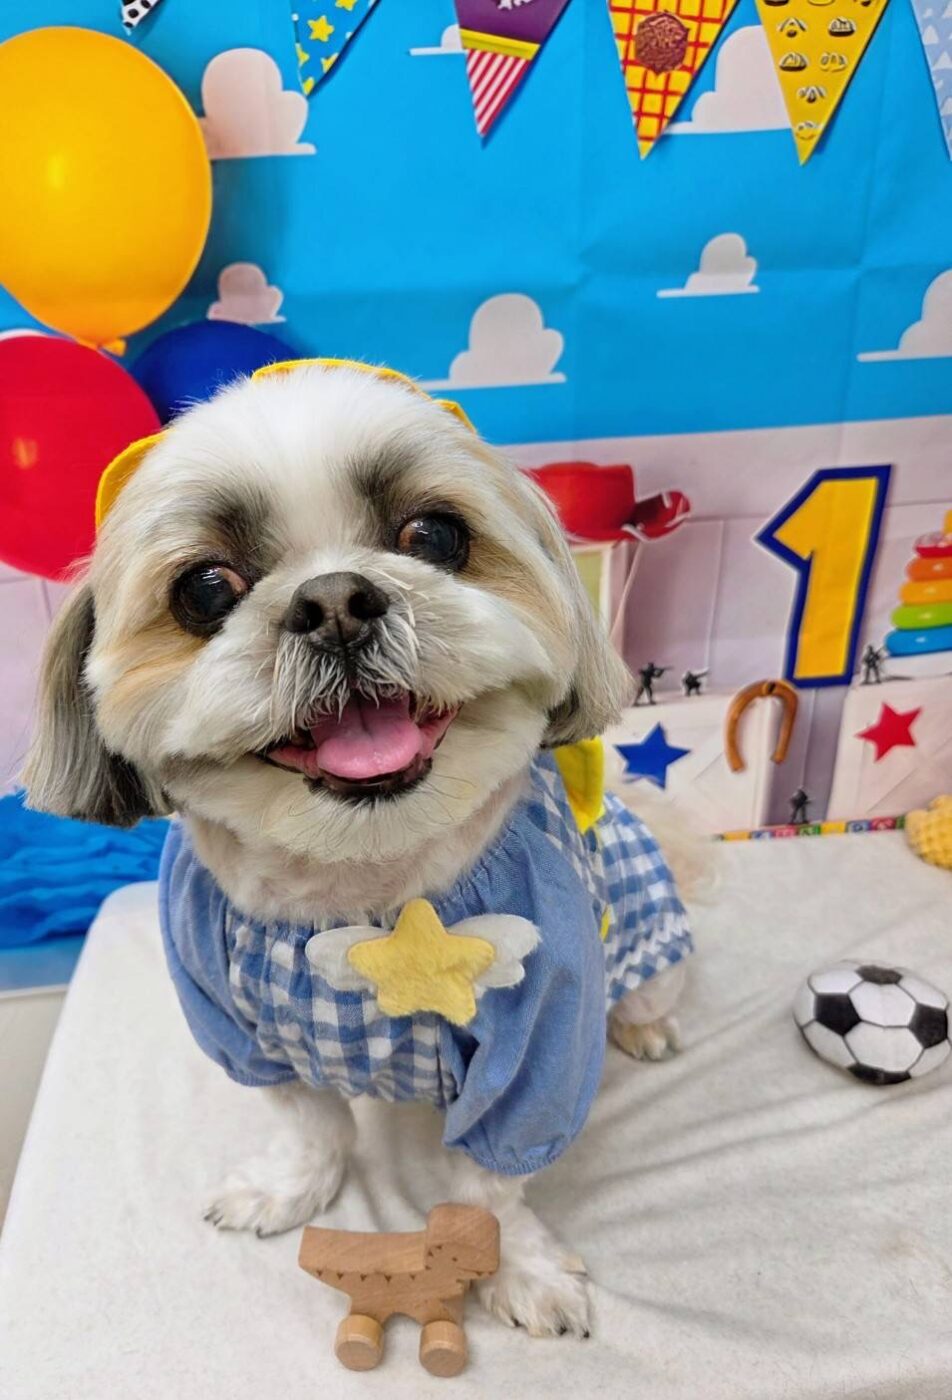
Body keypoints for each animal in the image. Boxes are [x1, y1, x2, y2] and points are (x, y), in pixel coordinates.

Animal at [24, 359, 692, 1340]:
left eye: (435, 534)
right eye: (205, 589)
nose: (335, 601)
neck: (357, 884)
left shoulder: (539, 1044)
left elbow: (489, 1178)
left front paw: (520, 1270)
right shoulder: (241, 1030)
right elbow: (311, 1122)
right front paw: (287, 1188)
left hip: (645, 941)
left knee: (644, 992)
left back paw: (645, 1030)